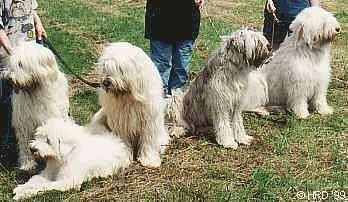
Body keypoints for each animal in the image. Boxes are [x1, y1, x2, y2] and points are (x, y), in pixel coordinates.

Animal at [0, 41, 69, 171]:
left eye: (20, 64)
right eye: (10, 63)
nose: (8, 78)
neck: (33, 92)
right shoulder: (23, 121)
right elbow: (24, 142)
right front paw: (27, 163)